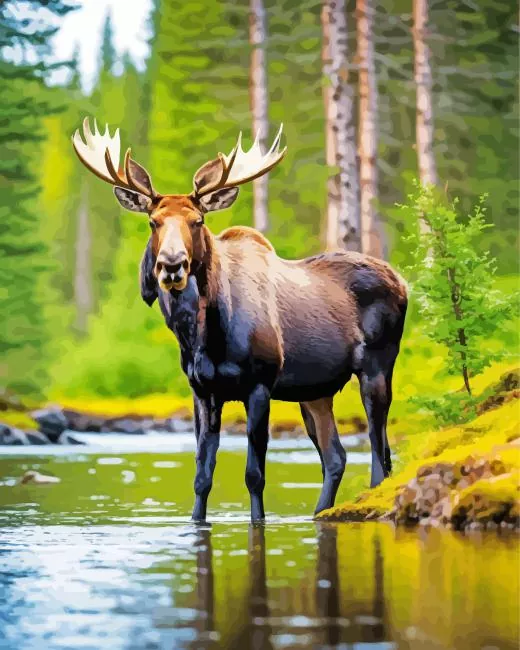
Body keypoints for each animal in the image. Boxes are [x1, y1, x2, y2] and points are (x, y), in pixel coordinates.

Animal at [72, 118, 408, 522]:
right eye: (153, 222)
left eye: (197, 220)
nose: (172, 264)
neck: (202, 336)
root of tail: (403, 282)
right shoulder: (203, 392)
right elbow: (202, 476)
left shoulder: (259, 384)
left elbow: (254, 475)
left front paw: (258, 519)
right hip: (315, 391)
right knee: (336, 457)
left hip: (376, 368)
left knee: (380, 454)